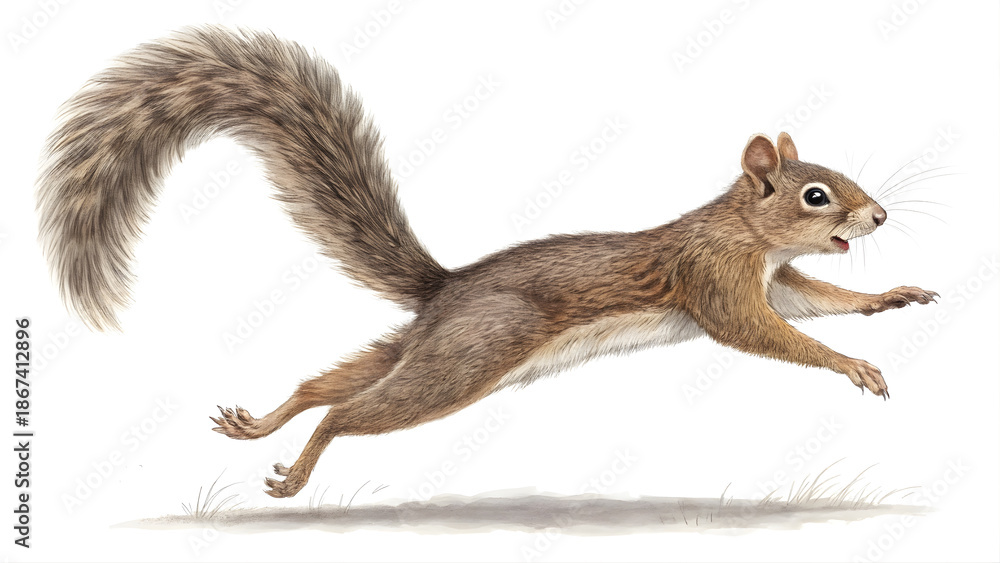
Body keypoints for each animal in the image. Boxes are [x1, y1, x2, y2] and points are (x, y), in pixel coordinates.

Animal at [37, 27, 938, 498]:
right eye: (817, 193)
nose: (879, 214)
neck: (747, 235)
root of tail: (447, 288)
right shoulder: (716, 282)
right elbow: (772, 335)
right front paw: (854, 364)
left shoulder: (775, 279)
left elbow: (819, 300)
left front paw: (890, 296)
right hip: (465, 358)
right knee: (347, 411)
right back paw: (297, 472)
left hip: (425, 345)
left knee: (323, 383)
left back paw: (257, 424)